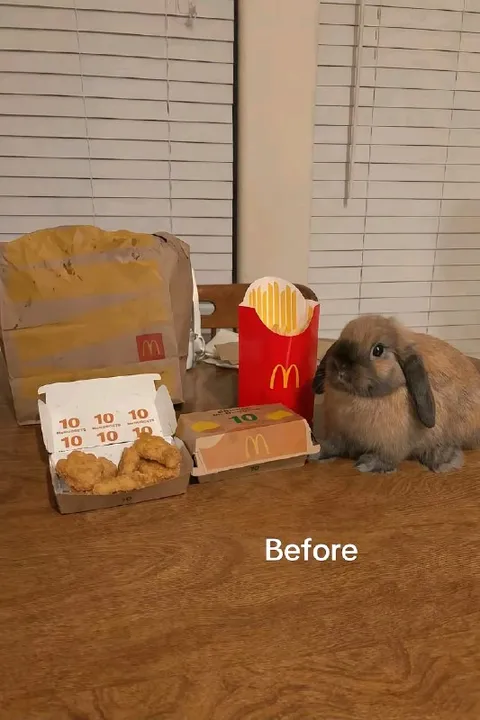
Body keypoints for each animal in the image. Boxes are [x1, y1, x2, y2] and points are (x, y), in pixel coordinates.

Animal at [312, 314, 480, 474]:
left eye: (378, 350)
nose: (340, 367)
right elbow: (332, 446)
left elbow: (388, 457)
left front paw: (368, 464)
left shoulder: (392, 444)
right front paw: (316, 452)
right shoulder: (337, 432)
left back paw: (442, 460)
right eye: (340, 338)